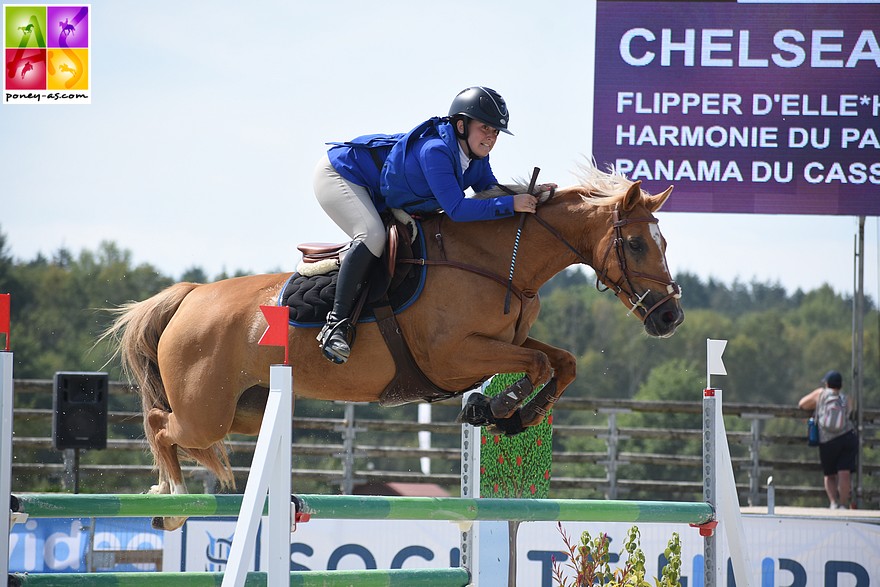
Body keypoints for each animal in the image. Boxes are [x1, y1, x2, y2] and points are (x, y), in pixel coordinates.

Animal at [101, 163, 680, 532]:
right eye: (635, 244)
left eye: (663, 242)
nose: (669, 316)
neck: (500, 261)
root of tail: (191, 295)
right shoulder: (452, 357)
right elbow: (537, 363)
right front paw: (498, 408)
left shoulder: (499, 343)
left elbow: (562, 362)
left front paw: (511, 414)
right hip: (208, 412)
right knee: (160, 424)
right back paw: (172, 500)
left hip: (247, 410)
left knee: (173, 428)